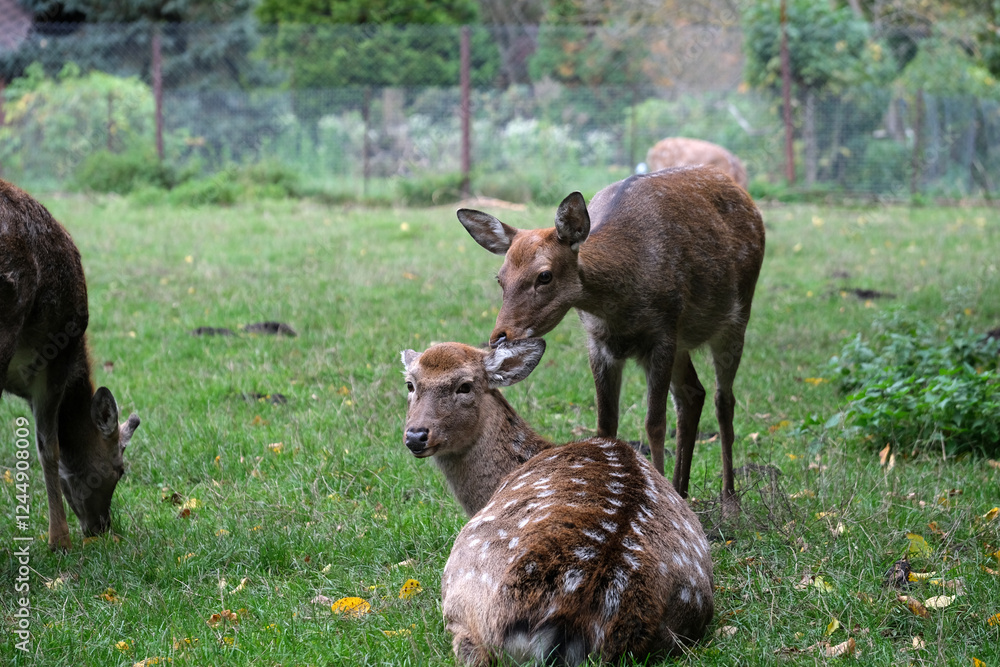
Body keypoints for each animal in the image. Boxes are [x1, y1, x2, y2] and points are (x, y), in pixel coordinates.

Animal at [457, 166, 765, 509]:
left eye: (544, 276)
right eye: (500, 278)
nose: (499, 336)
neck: (620, 306)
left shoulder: (663, 334)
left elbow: (654, 424)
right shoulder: (599, 344)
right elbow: (605, 424)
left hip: (737, 314)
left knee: (723, 400)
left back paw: (729, 501)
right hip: (684, 342)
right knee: (693, 394)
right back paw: (681, 491)